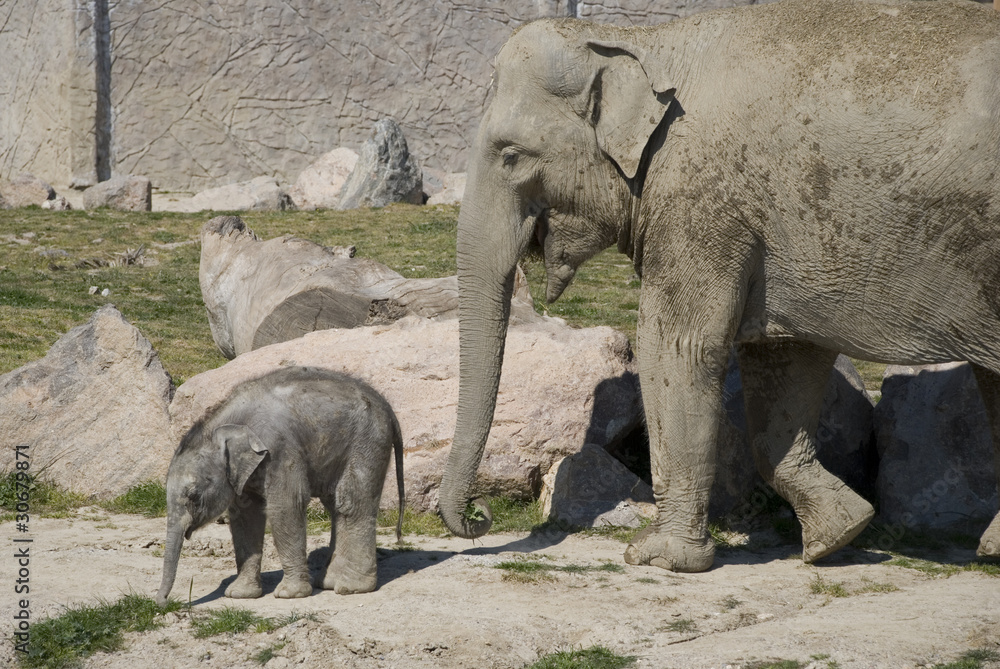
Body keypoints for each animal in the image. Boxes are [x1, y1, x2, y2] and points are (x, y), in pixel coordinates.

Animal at [155, 366, 404, 606]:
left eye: (193, 496)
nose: (162, 602)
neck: (224, 423)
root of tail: (388, 409)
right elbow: (245, 516)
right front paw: (239, 594)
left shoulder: (280, 450)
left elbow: (286, 506)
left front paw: (288, 595)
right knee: (336, 506)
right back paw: (328, 583)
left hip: (367, 442)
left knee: (351, 503)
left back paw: (352, 587)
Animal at [438, 0, 1000, 572]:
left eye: (511, 155)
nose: (479, 517)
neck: (644, 42)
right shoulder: (771, 232)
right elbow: (780, 359)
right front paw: (836, 537)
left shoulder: (702, 200)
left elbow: (676, 347)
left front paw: (659, 557)